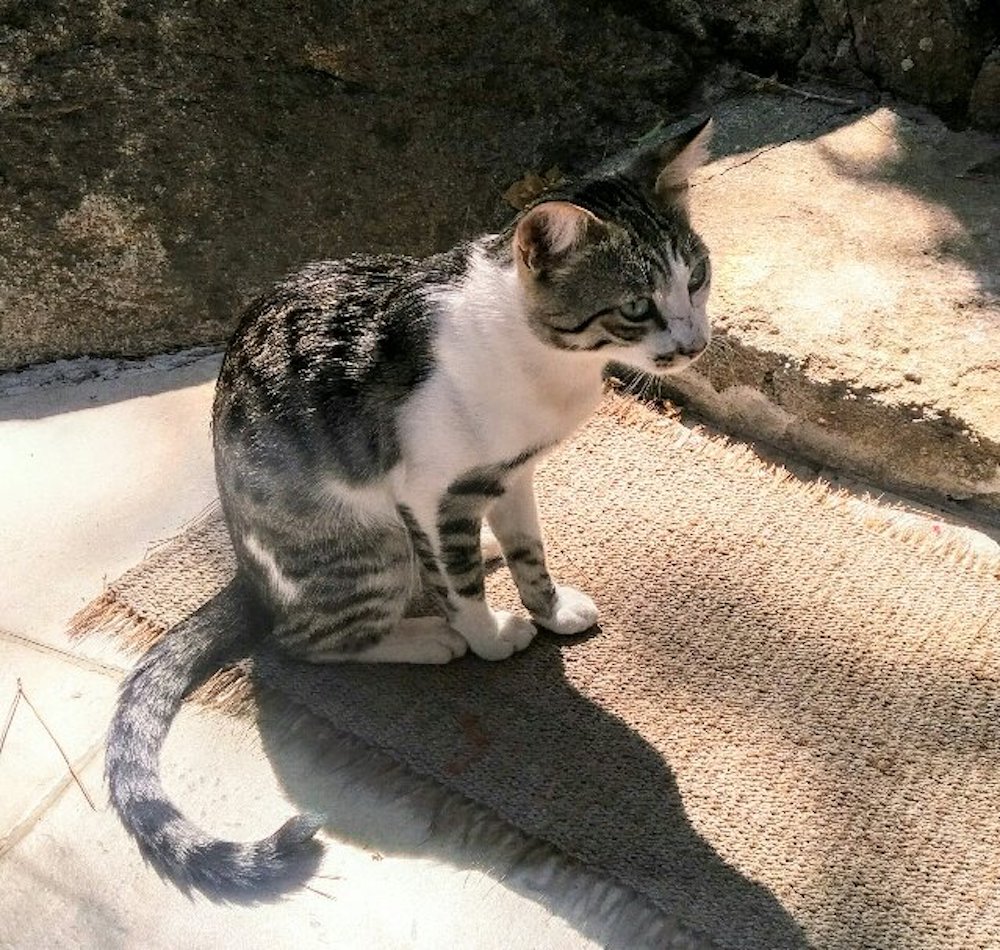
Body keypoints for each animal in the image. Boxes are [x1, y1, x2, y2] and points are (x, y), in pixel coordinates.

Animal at [105, 115, 720, 896]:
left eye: (695, 278)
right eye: (637, 306)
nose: (694, 342)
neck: (547, 364)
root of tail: (244, 575)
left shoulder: (512, 474)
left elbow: (530, 551)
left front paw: (546, 607)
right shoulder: (429, 489)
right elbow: (459, 586)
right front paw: (488, 636)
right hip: (364, 546)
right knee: (304, 641)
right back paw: (428, 636)